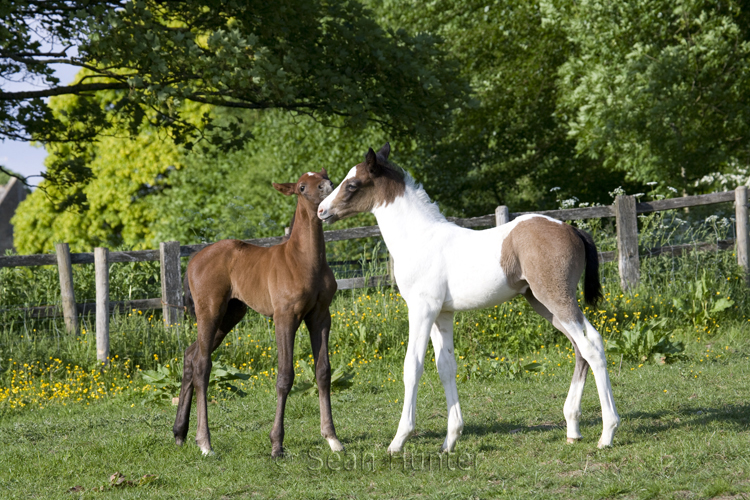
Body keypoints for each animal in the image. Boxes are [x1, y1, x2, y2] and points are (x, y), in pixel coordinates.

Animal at [173, 169, 344, 458]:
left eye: (326, 176)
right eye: (301, 187)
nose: (327, 187)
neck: (303, 261)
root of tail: (194, 260)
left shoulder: (321, 316)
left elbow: (323, 372)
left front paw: (332, 438)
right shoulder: (284, 318)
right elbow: (285, 376)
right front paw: (276, 444)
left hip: (231, 315)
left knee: (189, 355)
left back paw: (179, 433)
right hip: (210, 312)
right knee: (202, 366)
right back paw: (205, 442)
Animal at [320, 144, 620, 454]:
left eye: (352, 184)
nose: (321, 210)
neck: (418, 239)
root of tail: (572, 229)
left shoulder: (422, 309)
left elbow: (412, 366)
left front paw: (398, 440)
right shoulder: (442, 314)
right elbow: (445, 367)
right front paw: (450, 440)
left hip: (556, 297)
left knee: (592, 345)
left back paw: (607, 433)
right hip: (543, 303)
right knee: (581, 348)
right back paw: (573, 428)